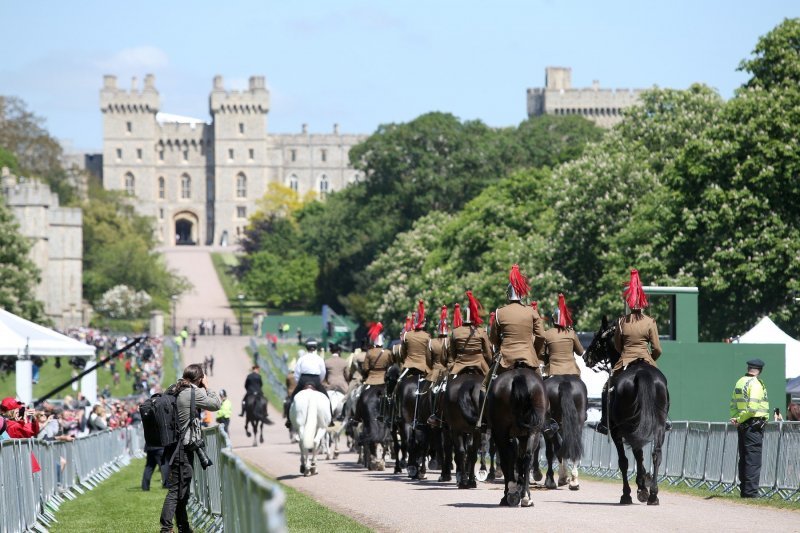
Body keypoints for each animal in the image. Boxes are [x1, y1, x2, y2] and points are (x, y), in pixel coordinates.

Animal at [484, 366, 548, 508]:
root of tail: (518, 376)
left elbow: (511, 461)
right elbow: (519, 461)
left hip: (502, 433)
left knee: (510, 458)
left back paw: (513, 493)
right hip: (533, 431)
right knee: (527, 458)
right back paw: (525, 497)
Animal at [584, 316, 672, 508]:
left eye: (597, 337)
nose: (586, 357)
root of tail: (642, 373)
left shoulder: (617, 431)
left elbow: (624, 461)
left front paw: (631, 492)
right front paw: (644, 484)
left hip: (625, 426)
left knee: (635, 453)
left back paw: (641, 491)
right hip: (658, 426)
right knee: (656, 454)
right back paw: (653, 495)